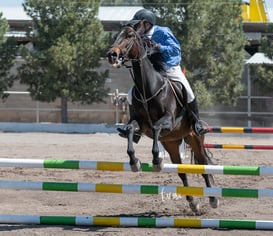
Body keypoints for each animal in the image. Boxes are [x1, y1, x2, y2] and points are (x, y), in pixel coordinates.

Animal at [107, 26, 218, 214]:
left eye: (129, 36)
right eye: (116, 36)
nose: (111, 55)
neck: (147, 88)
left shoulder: (168, 121)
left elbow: (157, 127)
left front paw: (157, 161)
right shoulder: (139, 123)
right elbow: (130, 130)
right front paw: (134, 162)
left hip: (195, 138)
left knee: (203, 165)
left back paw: (213, 199)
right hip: (172, 144)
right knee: (182, 171)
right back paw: (193, 203)